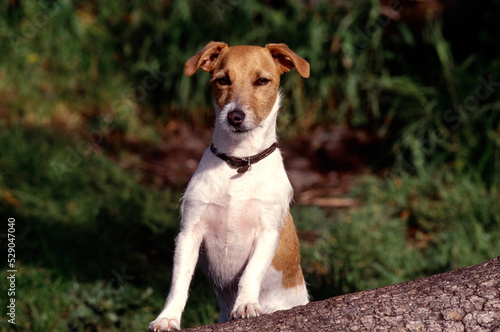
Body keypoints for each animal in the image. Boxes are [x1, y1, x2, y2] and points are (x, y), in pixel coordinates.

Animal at [148, 41, 310, 332]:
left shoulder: (267, 232)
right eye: (223, 80)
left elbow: (250, 272)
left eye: (262, 81)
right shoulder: (189, 233)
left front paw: (245, 304)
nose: (235, 116)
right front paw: (168, 317)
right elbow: (179, 283)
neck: (239, 162)